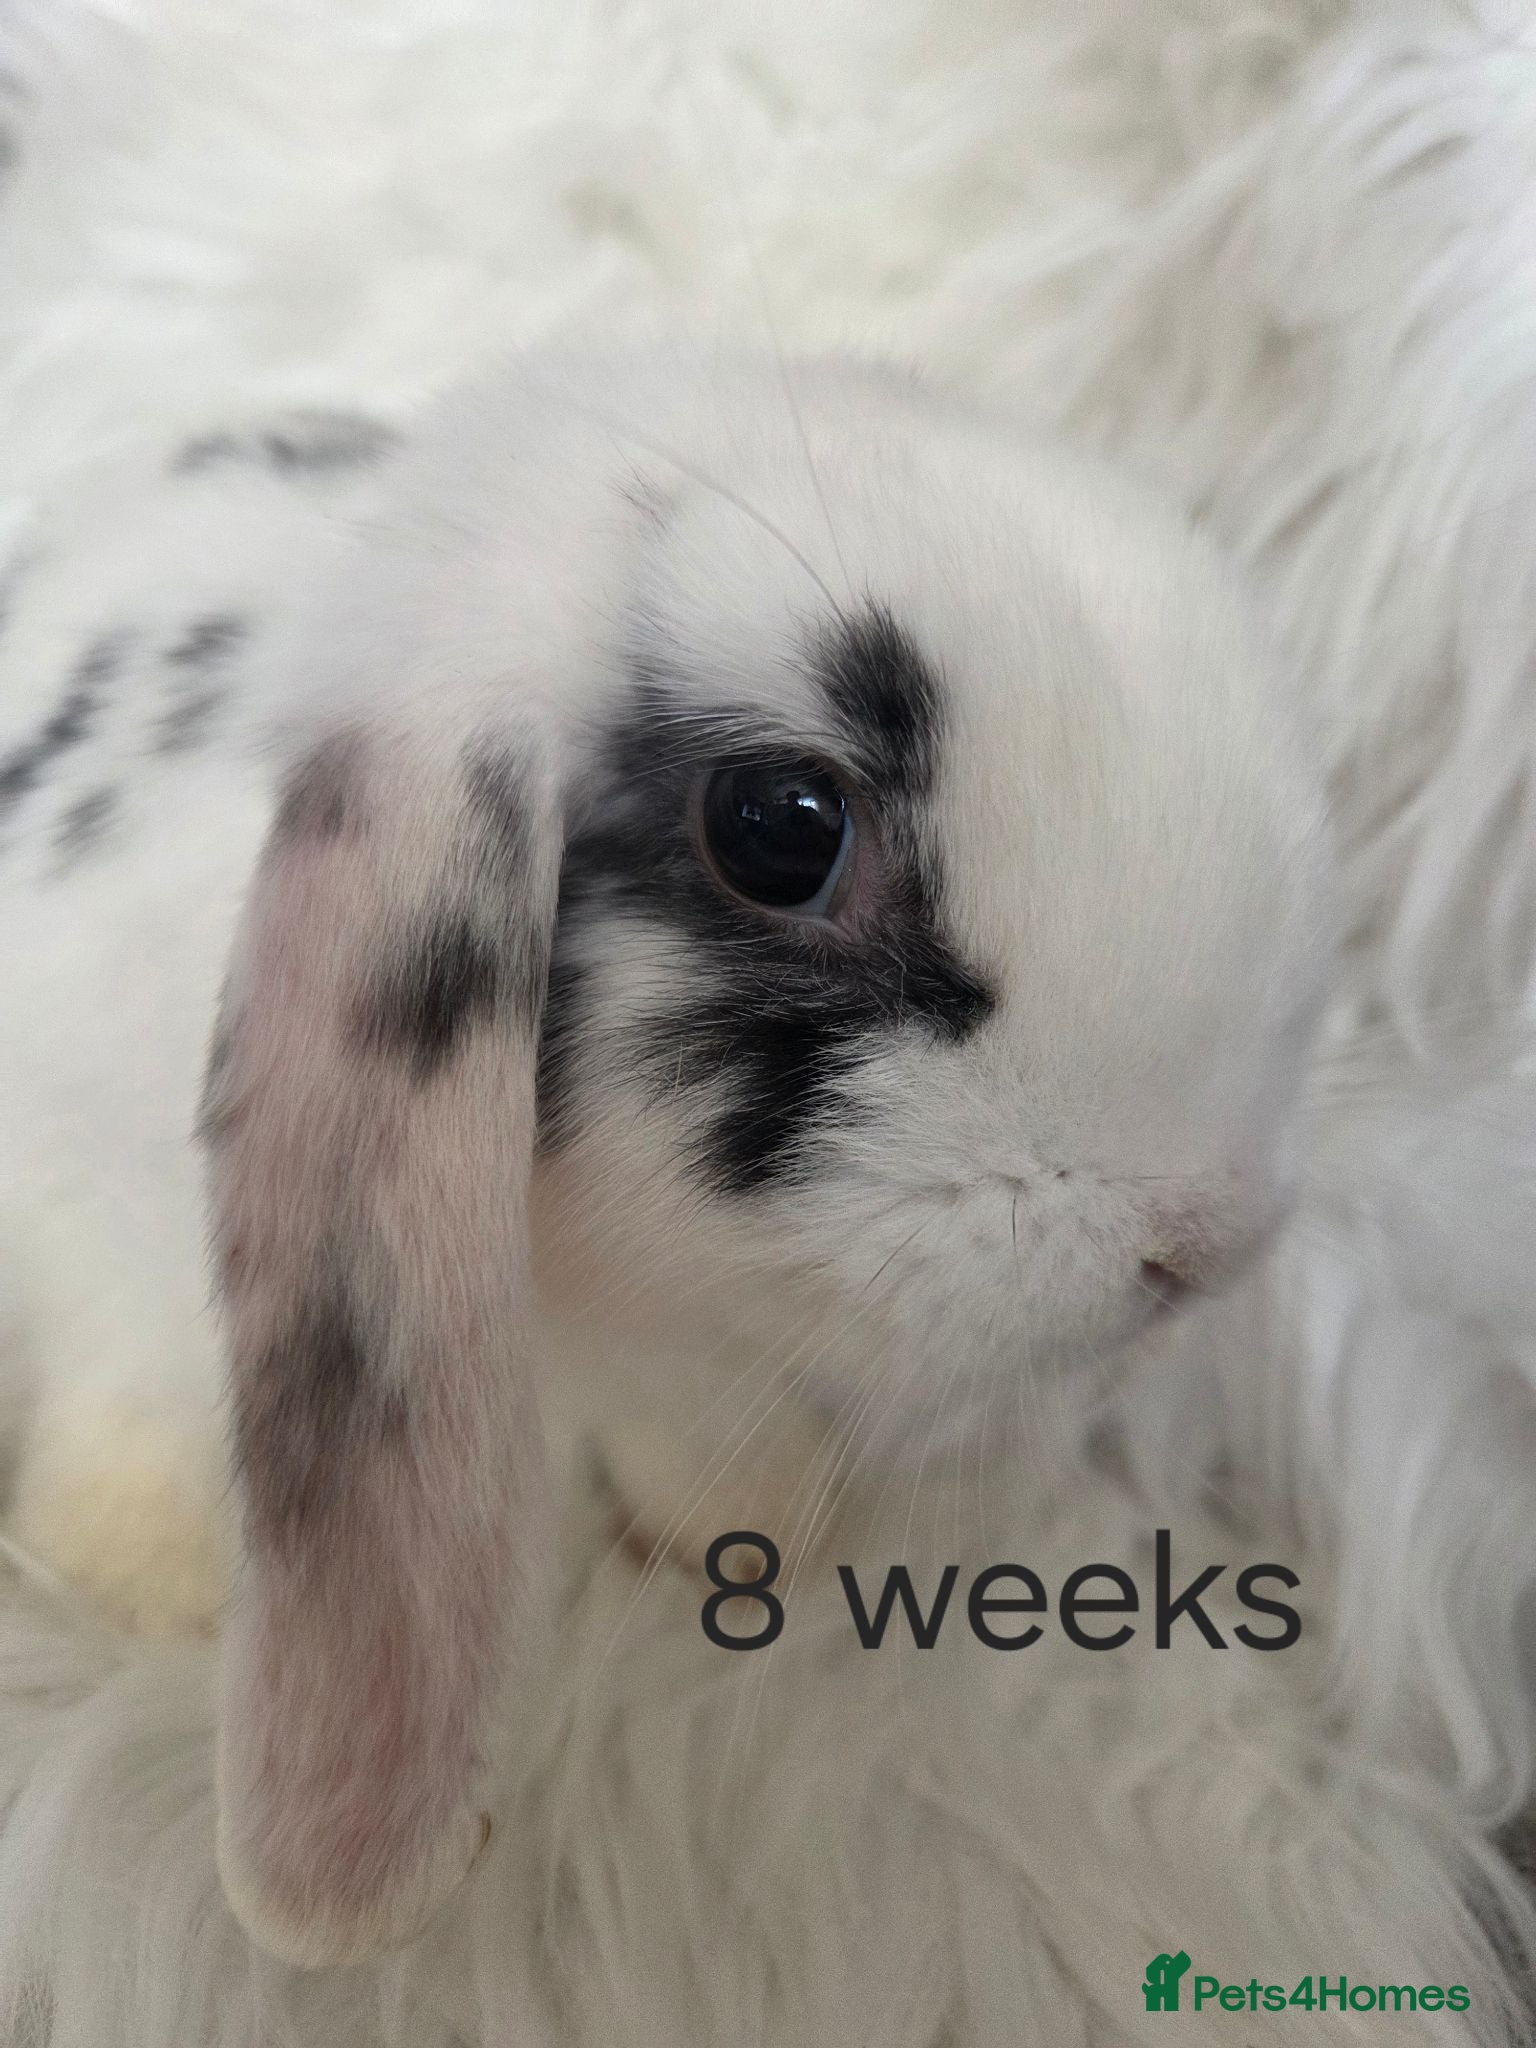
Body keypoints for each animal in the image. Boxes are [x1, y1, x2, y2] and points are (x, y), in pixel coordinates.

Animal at [0, 347, 1331, 1972]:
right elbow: (133, 1430)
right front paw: (140, 1599)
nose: (1206, 1242)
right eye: (780, 826)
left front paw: (759, 1528)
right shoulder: (98, 1242)